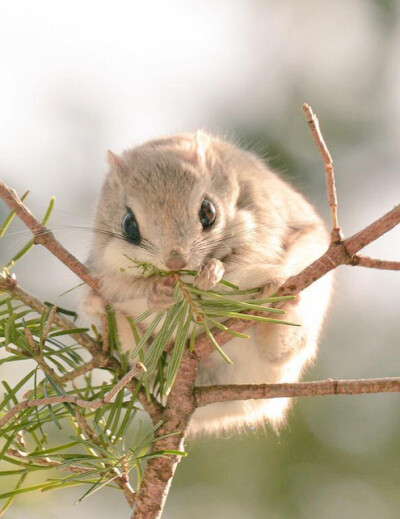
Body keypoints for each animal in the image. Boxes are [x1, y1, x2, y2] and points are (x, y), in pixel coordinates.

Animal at [83, 130, 332, 434]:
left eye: (208, 212)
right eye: (129, 224)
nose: (175, 262)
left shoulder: (264, 225)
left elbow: (241, 261)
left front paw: (211, 273)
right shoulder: (105, 266)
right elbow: (127, 286)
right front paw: (157, 293)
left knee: (279, 349)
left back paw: (278, 302)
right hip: (142, 357)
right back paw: (98, 305)